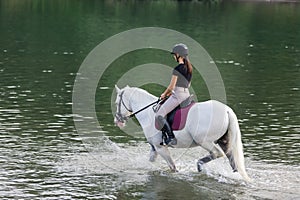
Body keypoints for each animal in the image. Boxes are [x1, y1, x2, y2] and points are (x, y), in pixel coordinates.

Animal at [113, 85, 250, 180]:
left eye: (116, 103)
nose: (117, 121)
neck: (147, 113)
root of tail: (227, 110)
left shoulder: (160, 147)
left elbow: (173, 167)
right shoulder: (154, 148)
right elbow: (150, 162)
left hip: (204, 141)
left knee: (217, 153)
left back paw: (199, 165)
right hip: (224, 141)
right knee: (232, 160)